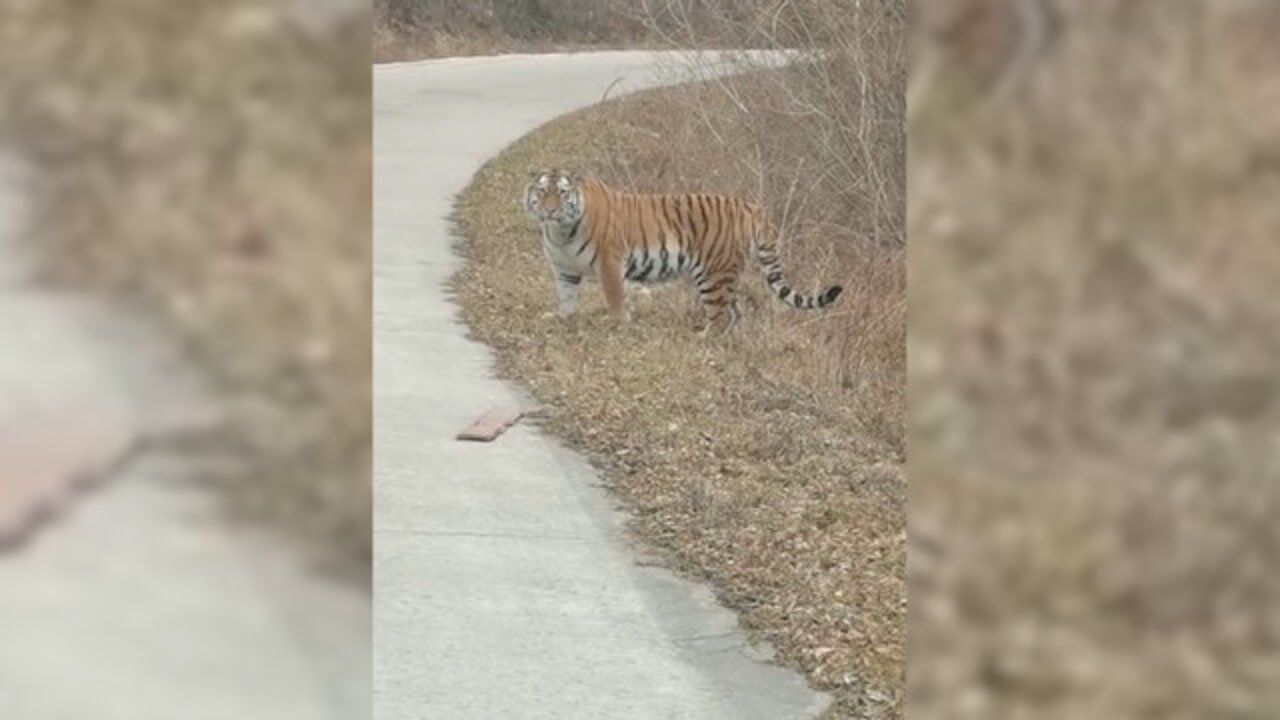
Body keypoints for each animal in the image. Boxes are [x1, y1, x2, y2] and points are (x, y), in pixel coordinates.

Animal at [519, 166, 839, 333]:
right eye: (542, 191)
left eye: (562, 193)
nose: (550, 210)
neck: (560, 232)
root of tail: (751, 206)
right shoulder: (564, 268)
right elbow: (566, 296)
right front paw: (564, 318)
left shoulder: (609, 262)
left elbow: (614, 297)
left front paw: (617, 323)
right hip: (726, 275)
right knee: (734, 313)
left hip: (713, 274)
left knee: (721, 314)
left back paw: (704, 338)